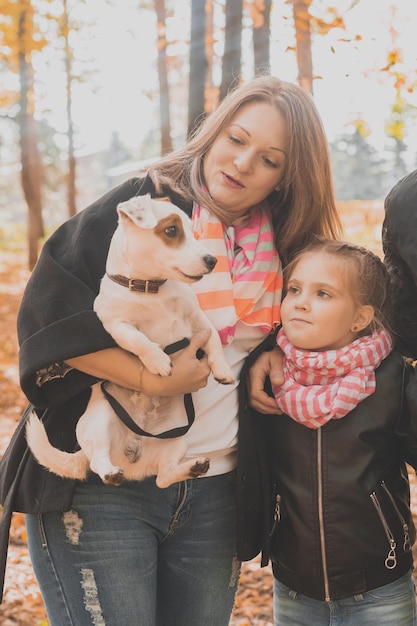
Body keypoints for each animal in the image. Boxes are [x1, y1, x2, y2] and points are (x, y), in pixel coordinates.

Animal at [26, 195, 234, 488]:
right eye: (172, 230)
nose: (212, 260)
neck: (150, 289)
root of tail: (133, 451)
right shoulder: (115, 324)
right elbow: (137, 339)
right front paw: (158, 361)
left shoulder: (198, 319)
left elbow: (213, 337)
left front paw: (223, 369)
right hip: (99, 423)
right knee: (98, 461)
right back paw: (111, 473)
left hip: (177, 439)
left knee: (164, 477)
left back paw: (192, 467)